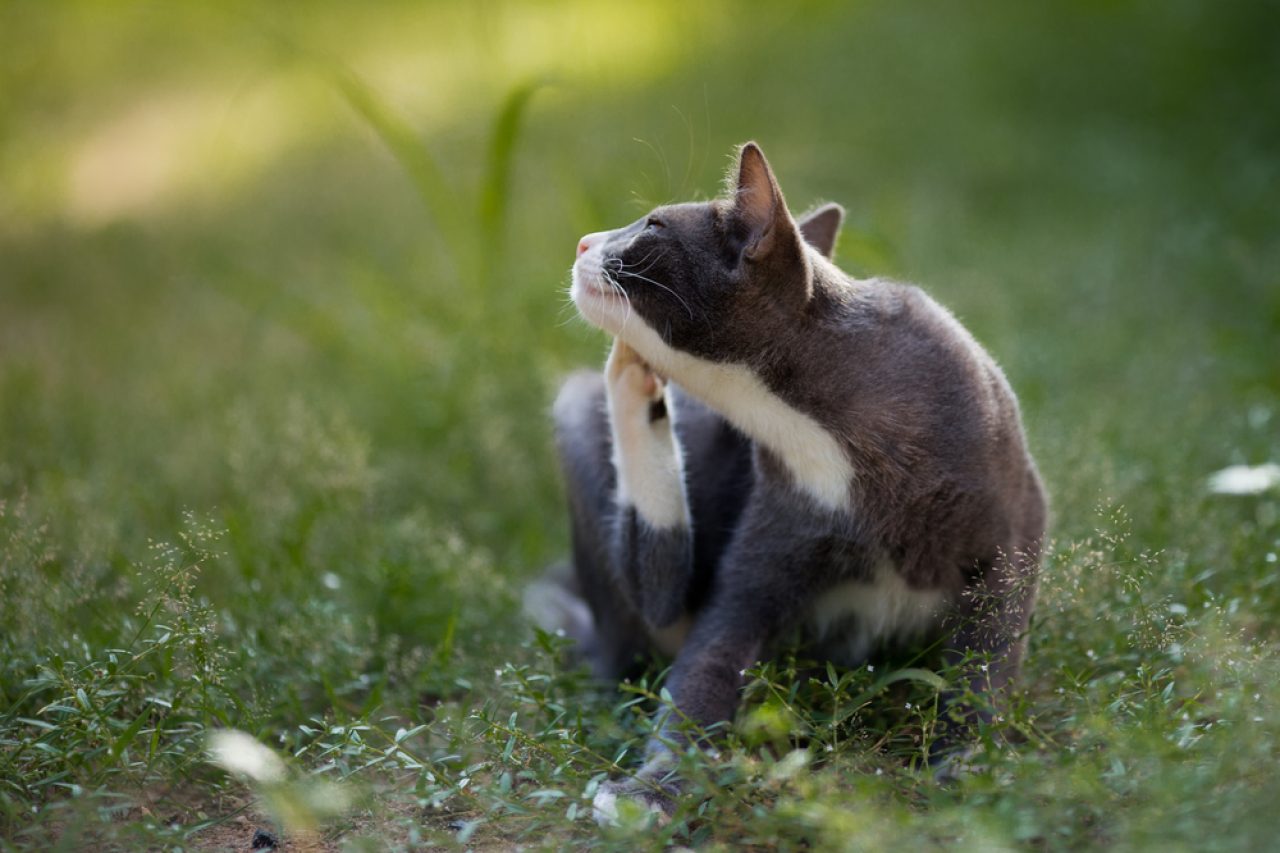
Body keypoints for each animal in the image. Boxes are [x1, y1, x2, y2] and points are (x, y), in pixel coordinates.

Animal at [535, 142, 1044, 819]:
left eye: (654, 225)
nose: (584, 242)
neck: (807, 423)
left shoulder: (1016, 521)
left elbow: (990, 653)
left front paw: (968, 759)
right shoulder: (769, 536)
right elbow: (705, 664)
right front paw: (653, 790)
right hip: (576, 416)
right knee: (649, 610)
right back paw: (629, 377)